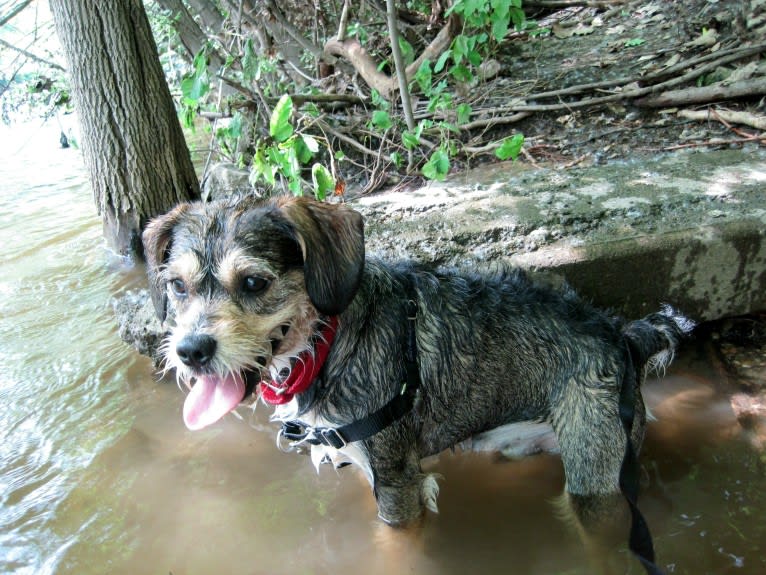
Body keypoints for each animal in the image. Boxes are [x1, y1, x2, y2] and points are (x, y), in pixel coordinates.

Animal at [141, 195, 692, 560]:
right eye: (178, 286)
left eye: (254, 282)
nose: (190, 351)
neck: (330, 342)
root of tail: (624, 337)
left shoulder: (398, 483)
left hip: (596, 485)